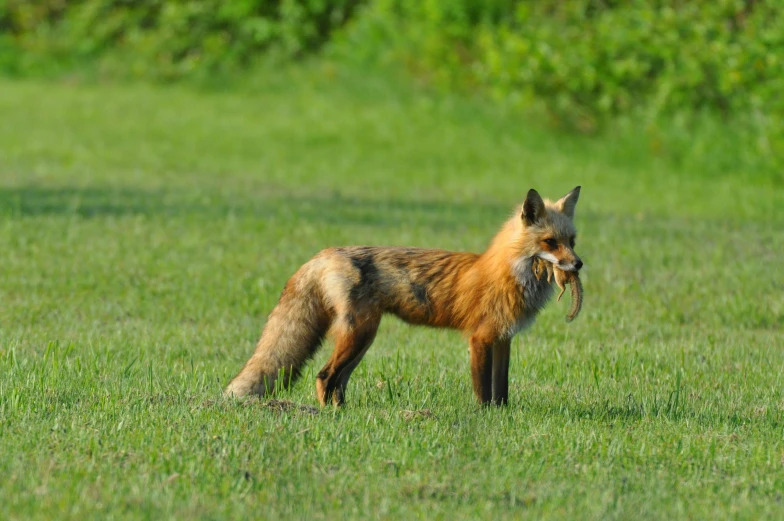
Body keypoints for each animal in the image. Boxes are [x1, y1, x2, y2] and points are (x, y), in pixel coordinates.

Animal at [225, 187, 580, 406]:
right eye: (550, 242)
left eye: (572, 240)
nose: (578, 264)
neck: (509, 273)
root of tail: (324, 253)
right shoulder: (480, 338)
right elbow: (483, 390)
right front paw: (484, 417)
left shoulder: (504, 338)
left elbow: (501, 390)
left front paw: (502, 415)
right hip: (359, 334)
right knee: (325, 377)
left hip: (363, 339)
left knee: (338, 381)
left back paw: (344, 413)